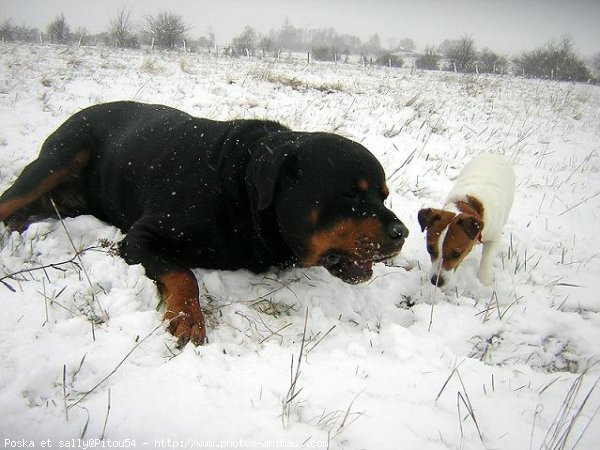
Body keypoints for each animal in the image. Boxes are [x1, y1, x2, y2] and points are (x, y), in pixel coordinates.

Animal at [0, 102, 408, 346]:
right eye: (352, 196)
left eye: (384, 196)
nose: (402, 233)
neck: (241, 193)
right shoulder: (141, 238)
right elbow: (184, 275)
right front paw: (189, 318)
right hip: (58, 158)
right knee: (12, 197)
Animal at [420, 155, 512, 286]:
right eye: (429, 248)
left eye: (456, 254)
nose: (436, 281)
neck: (468, 204)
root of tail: (493, 154)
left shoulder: (494, 237)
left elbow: (487, 256)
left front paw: (484, 279)